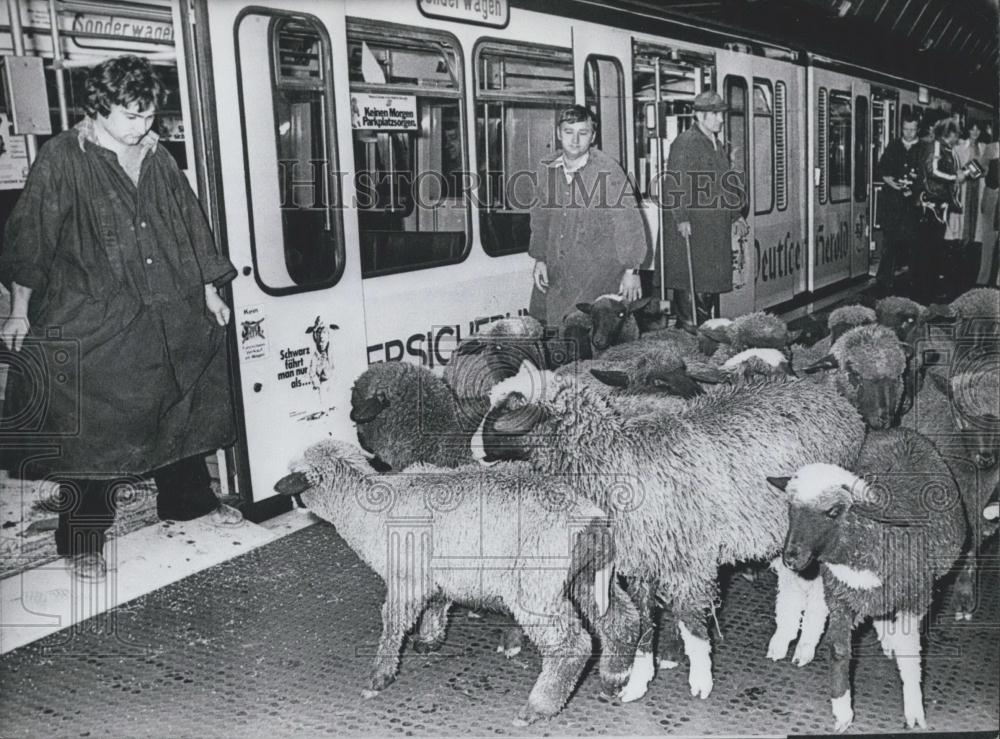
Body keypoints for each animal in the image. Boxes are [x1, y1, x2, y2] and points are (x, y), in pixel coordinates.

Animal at [272, 442, 640, 724]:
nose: (289, 501)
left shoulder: (406, 577)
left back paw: (539, 707)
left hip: (535, 587)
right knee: (623, 621)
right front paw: (429, 639)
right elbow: (437, 605)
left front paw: (380, 675)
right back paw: (614, 678)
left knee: (572, 645)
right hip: (586, 580)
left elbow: (392, 623)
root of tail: (591, 521)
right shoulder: (435, 574)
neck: (359, 506)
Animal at [472, 362, 864, 704]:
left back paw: (805, 648)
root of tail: (836, 401)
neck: (616, 459)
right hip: (781, 532)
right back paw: (783, 642)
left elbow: (691, 624)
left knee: (818, 591)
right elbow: (644, 623)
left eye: (506, 412)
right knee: (792, 582)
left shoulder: (688, 559)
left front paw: (701, 680)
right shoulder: (643, 561)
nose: (474, 450)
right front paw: (638, 683)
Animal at [764, 428, 968, 736]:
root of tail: (897, 430)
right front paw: (842, 712)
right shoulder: (839, 599)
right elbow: (838, 651)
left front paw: (914, 712)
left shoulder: (915, 599)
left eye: (834, 511)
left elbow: (911, 656)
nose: (790, 559)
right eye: (790, 508)